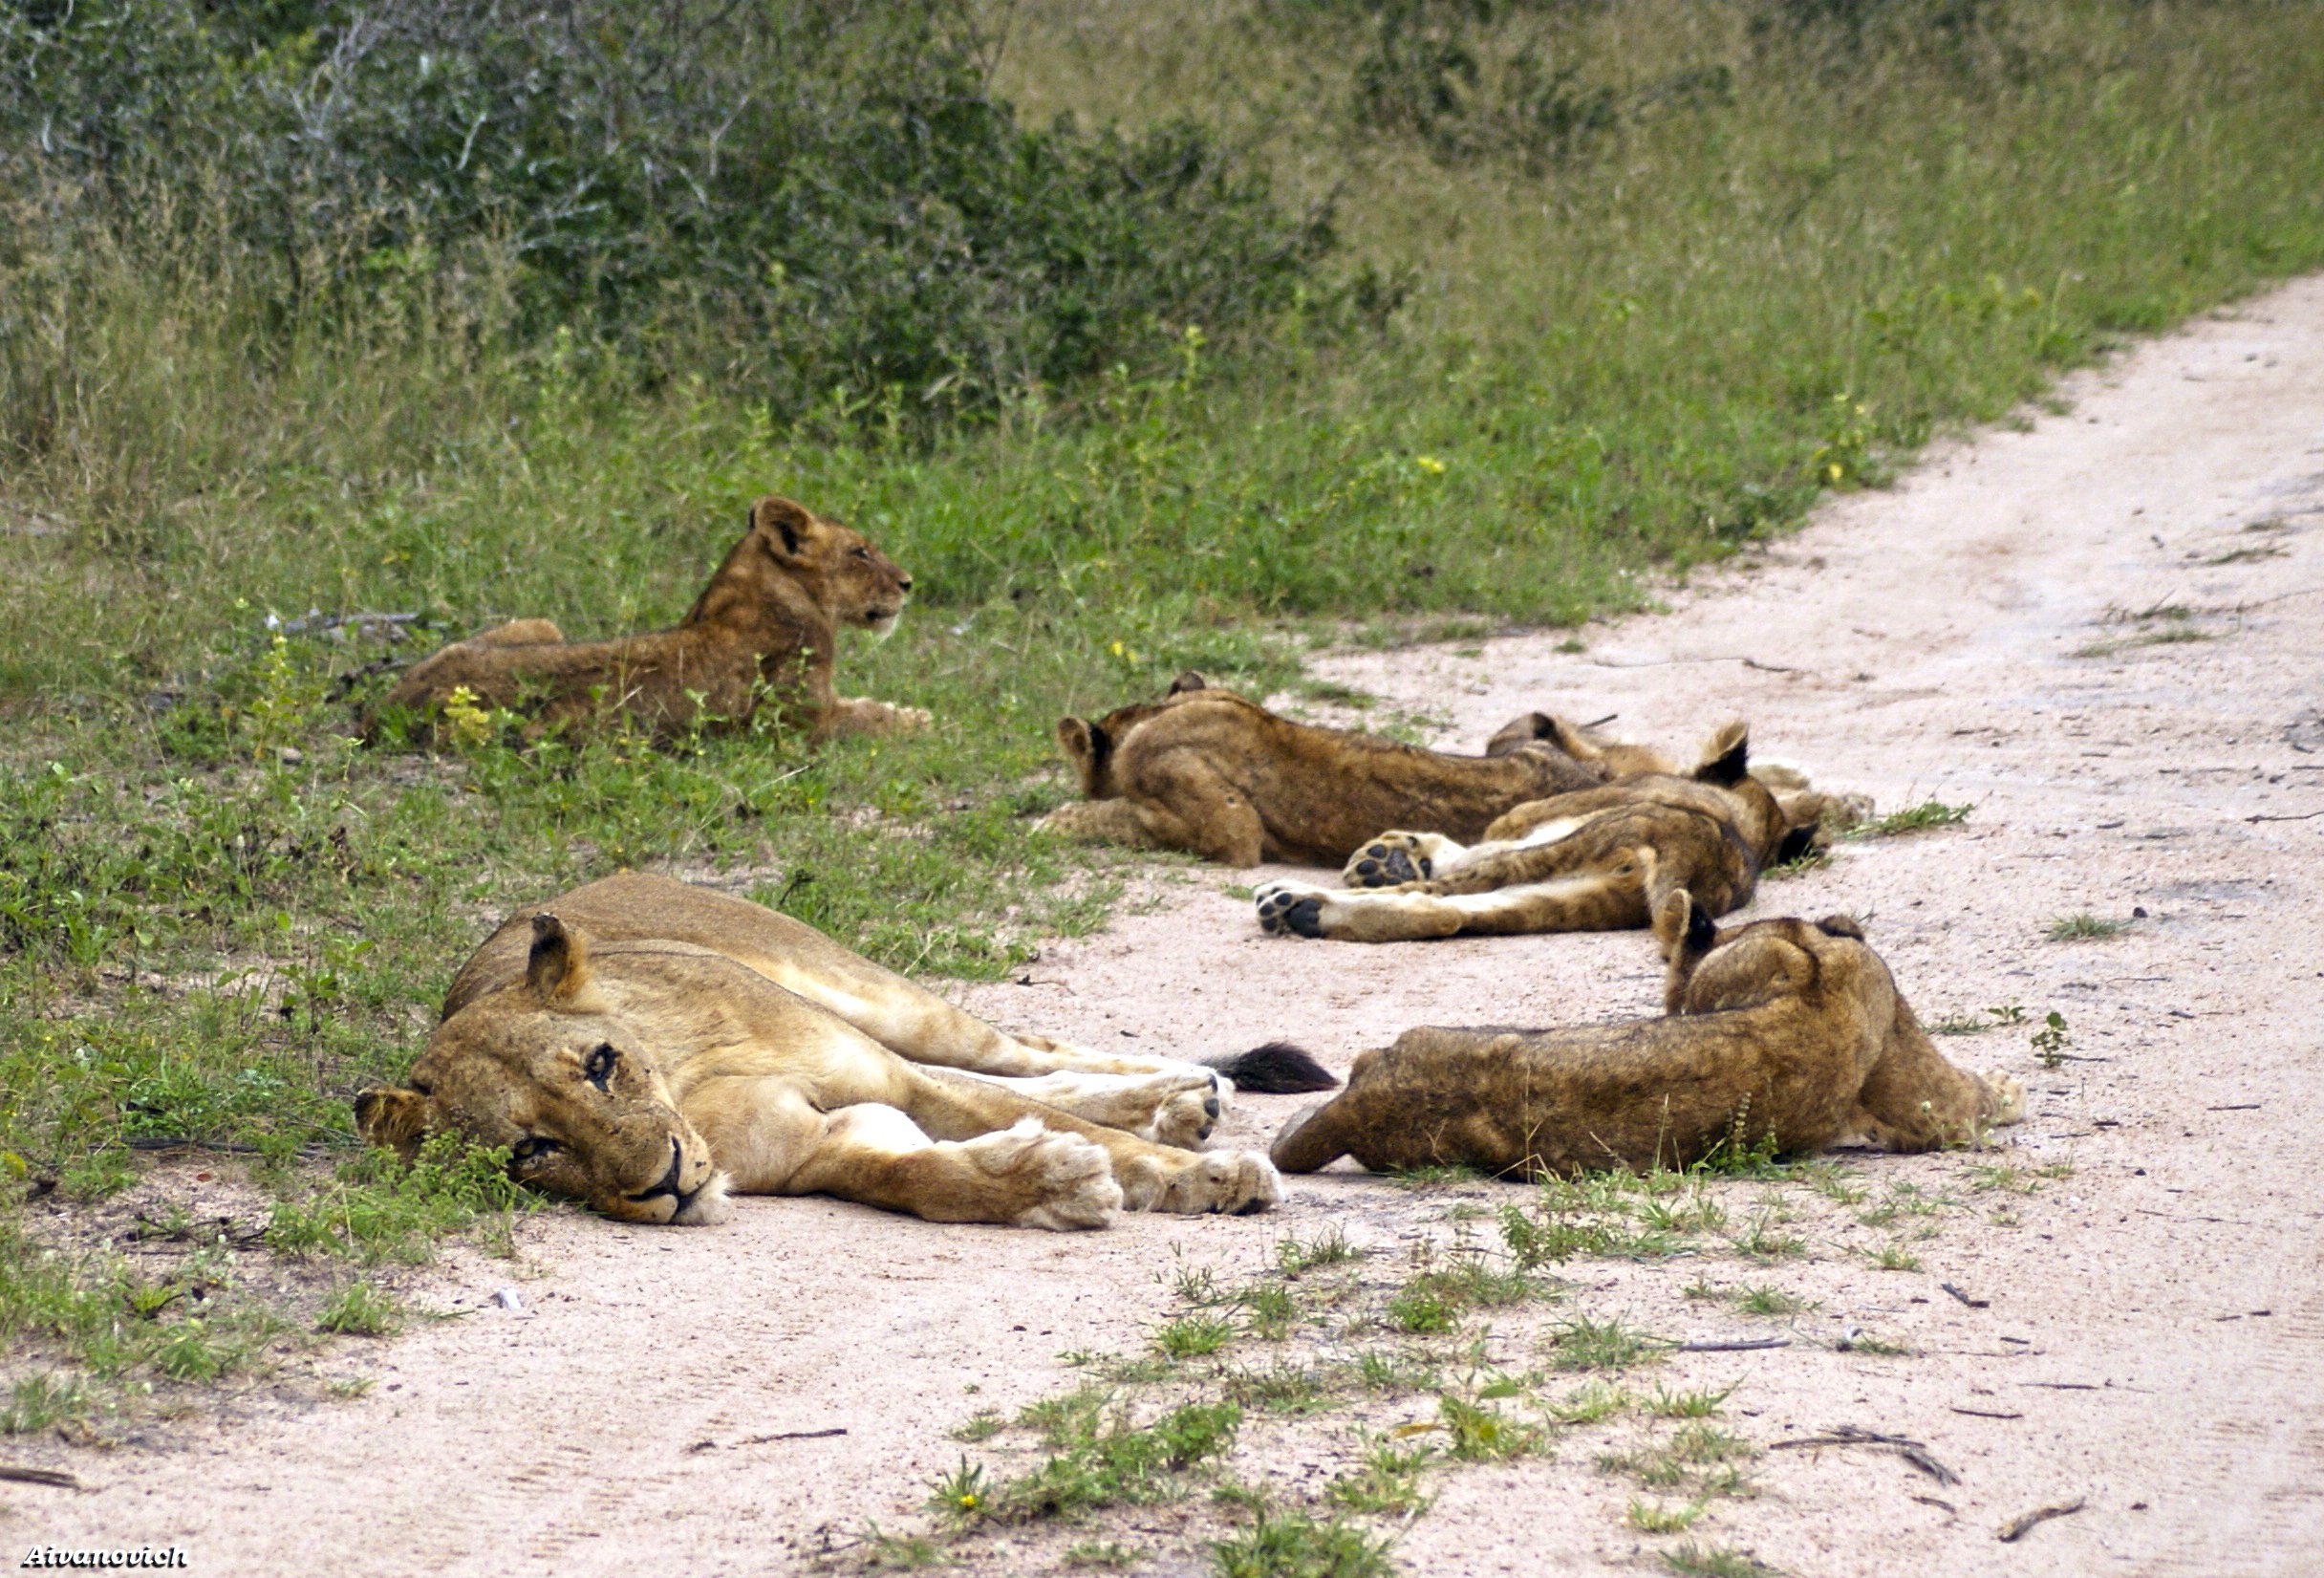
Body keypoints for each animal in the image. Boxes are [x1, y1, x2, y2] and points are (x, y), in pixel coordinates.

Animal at [341, 878, 1329, 1236]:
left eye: (599, 1063)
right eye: (530, 1151)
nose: (663, 1182)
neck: (688, 1088)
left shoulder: (890, 1077)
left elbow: (1034, 1110)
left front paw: (1217, 1178)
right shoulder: (823, 1146)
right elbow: (921, 1177)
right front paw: (1051, 1182)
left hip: (881, 1001)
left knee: (1022, 1051)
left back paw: (1196, 1090)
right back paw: (1187, 1103)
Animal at [367, 499, 929, 747]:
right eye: (860, 552)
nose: (907, 583)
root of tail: (386, 707)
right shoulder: (807, 720)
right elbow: (875, 717)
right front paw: (924, 719)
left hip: (540, 626)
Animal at [1255, 724, 1849, 943]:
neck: (1748, 820)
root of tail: (1697, 863)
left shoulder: (1526, 819)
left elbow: (1479, 840)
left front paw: (1396, 853)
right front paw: (1397, 850)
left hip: (1560, 854)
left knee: (1443, 891)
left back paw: (1289, 899)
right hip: (1554, 900)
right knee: (1444, 914)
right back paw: (1307, 913)